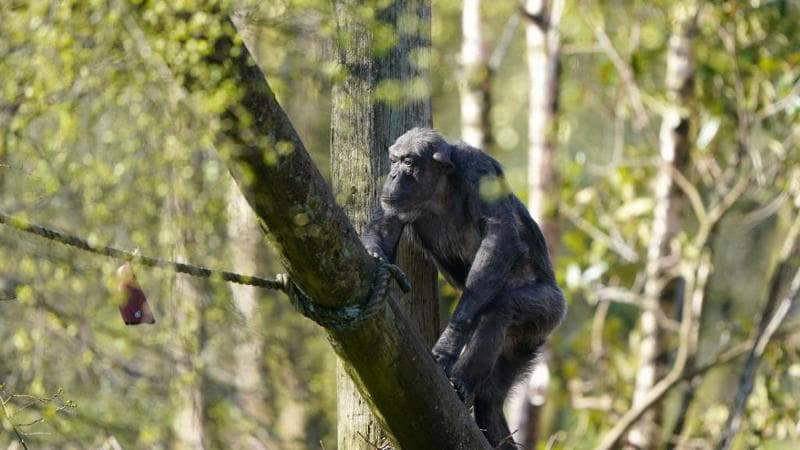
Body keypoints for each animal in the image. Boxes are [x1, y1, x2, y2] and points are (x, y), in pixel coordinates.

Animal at [364, 127, 568, 450]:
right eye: (394, 160)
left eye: (409, 162)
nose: (394, 175)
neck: (440, 189)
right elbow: (387, 223)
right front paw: (376, 259)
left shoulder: (478, 169)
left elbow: (499, 235)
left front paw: (448, 342)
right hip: (524, 345)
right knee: (491, 398)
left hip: (549, 310)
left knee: (501, 309)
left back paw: (460, 382)